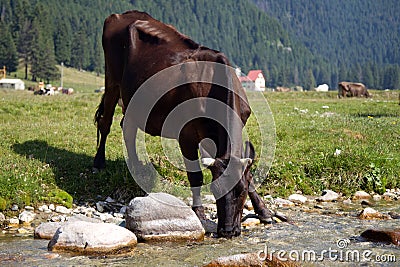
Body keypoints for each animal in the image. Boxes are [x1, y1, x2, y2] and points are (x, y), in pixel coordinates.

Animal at [94, 9, 276, 239]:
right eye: (215, 190)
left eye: (240, 192)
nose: (227, 231)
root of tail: (123, 14)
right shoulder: (186, 134)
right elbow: (195, 176)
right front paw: (198, 212)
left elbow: (249, 176)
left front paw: (264, 211)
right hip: (112, 79)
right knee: (106, 122)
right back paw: (99, 162)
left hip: (134, 100)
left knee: (127, 127)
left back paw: (138, 168)